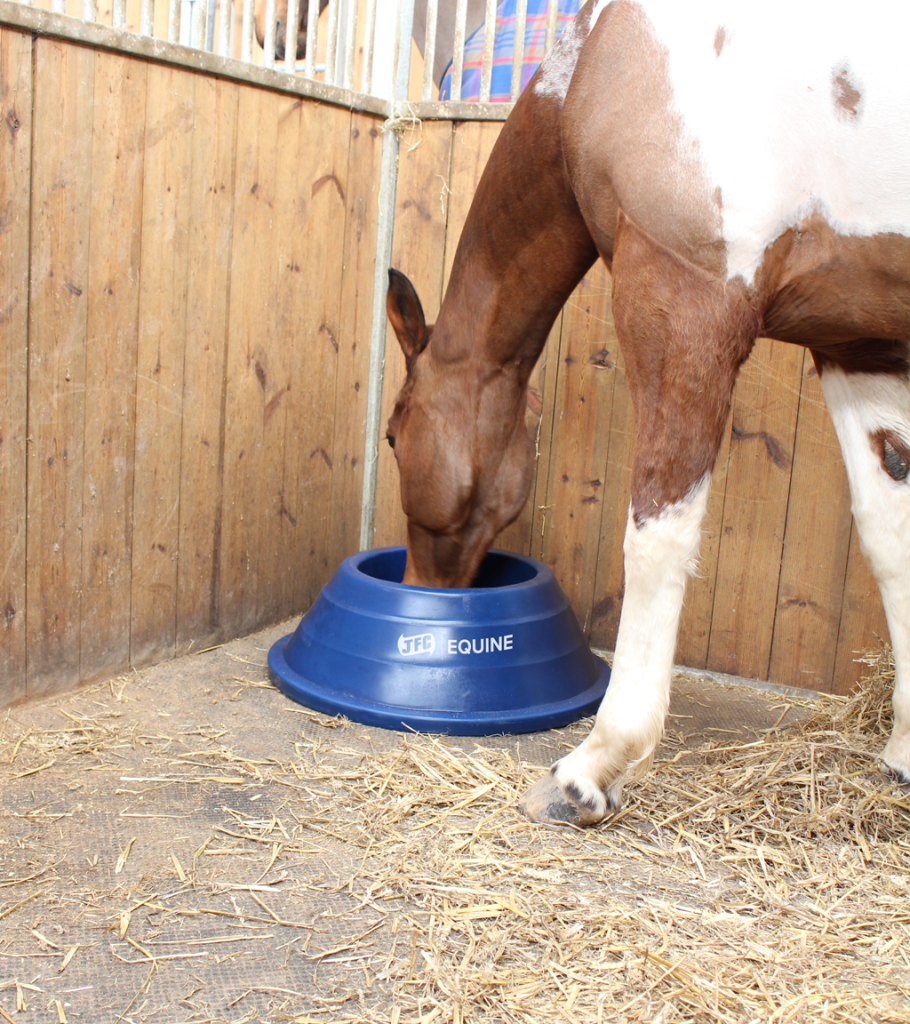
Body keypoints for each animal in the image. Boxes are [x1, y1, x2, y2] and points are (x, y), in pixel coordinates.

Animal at [382, 0, 908, 827]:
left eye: (394, 437)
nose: (420, 591)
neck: (609, 56)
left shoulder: (683, 294)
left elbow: (657, 536)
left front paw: (595, 766)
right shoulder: (860, 345)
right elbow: (891, 539)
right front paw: (903, 752)